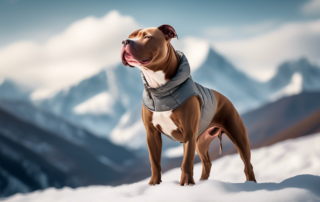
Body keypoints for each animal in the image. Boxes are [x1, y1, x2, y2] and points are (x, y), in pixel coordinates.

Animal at [121, 24, 256, 185]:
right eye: (131, 36)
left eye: (147, 37)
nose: (124, 41)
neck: (161, 90)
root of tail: (224, 97)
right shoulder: (152, 133)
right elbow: (155, 162)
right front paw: (154, 184)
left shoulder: (188, 132)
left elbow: (186, 162)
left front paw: (185, 184)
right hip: (200, 142)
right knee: (207, 162)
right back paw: (202, 182)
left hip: (238, 135)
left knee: (247, 163)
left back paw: (251, 183)